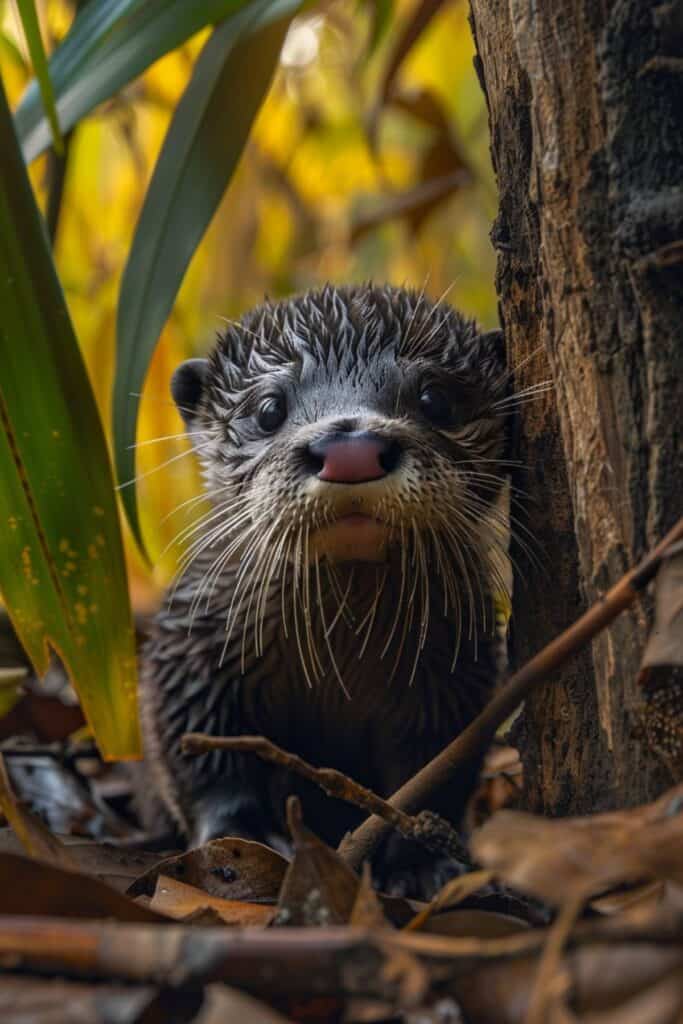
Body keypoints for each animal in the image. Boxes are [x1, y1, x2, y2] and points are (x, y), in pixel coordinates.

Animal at [140, 284, 511, 892]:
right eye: (268, 410)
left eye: (435, 398)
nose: (350, 448)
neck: (338, 669)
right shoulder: (189, 651)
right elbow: (197, 757)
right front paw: (238, 838)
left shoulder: (455, 678)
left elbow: (435, 768)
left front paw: (421, 864)